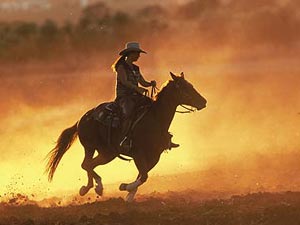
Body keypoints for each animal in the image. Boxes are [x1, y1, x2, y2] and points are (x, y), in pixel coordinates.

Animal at [45, 72, 207, 202]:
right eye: (184, 88)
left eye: (190, 85)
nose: (203, 102)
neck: (155, 120)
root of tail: (82, 119)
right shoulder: (138, 154)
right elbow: (144, 176)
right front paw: (125, 187)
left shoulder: (155, 156)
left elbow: (143, 175)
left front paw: (129, 195)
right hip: (90, 147)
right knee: (86, 164)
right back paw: (96, 187)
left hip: (107, 153)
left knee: (90, 165)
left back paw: (91, 188)